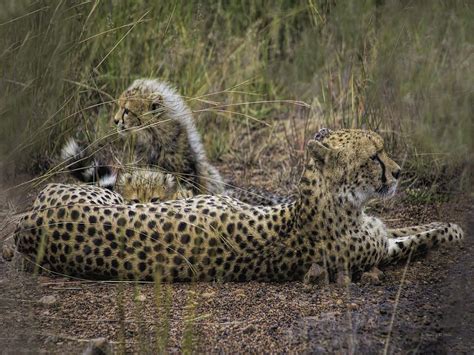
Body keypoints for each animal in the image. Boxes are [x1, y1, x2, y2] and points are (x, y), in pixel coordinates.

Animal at [13, 129, 462, 282]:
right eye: (374, 156)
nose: (399, 172)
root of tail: (31, 221)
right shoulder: (381, 251)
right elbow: (421, 236)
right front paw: (454, 230)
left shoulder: (382, 232)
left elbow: (404, 227)